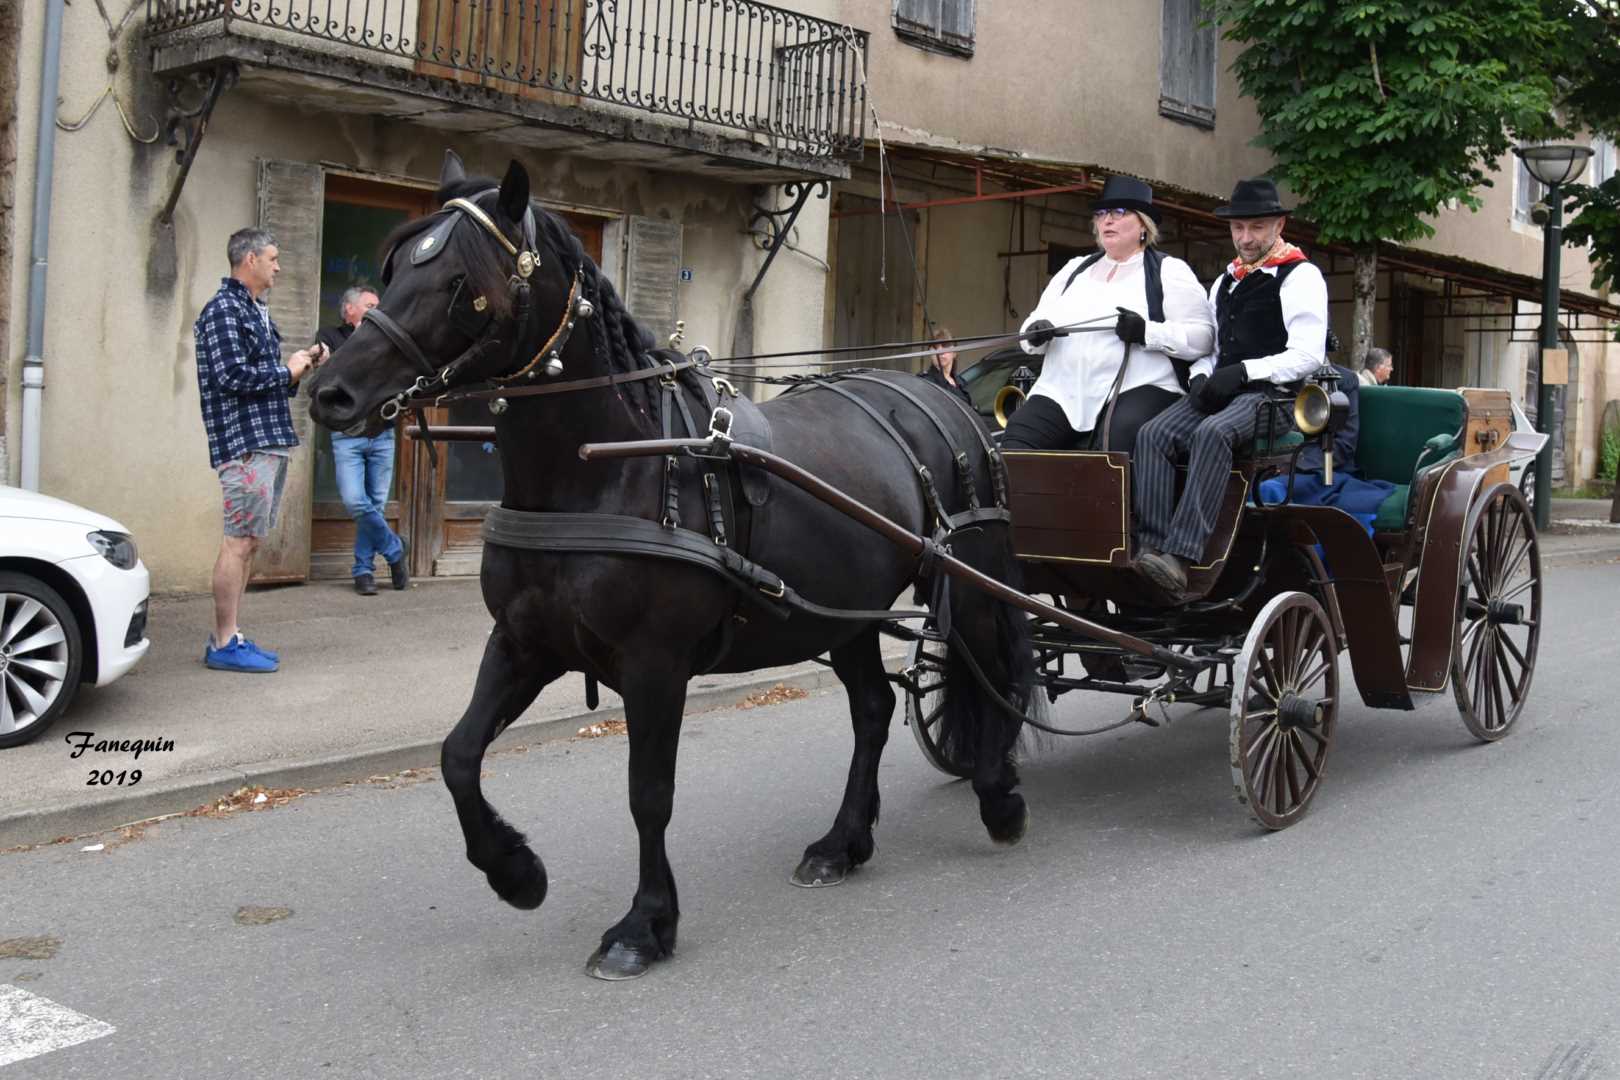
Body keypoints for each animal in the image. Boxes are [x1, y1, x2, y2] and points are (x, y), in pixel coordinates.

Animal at [306, 156, 1036, 984]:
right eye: (394, 268)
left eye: (461, 281)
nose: (330, 391)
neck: (602, 469)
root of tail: (942, 394)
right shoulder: (525, 644)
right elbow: (458, 755)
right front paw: (515, 871)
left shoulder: (656, 665)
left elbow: (648, 793)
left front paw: (644, 924)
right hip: (846, 609)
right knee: (875, 710)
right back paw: (842, 842)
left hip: (966, 585)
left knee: (992, 674)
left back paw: (998, 797)